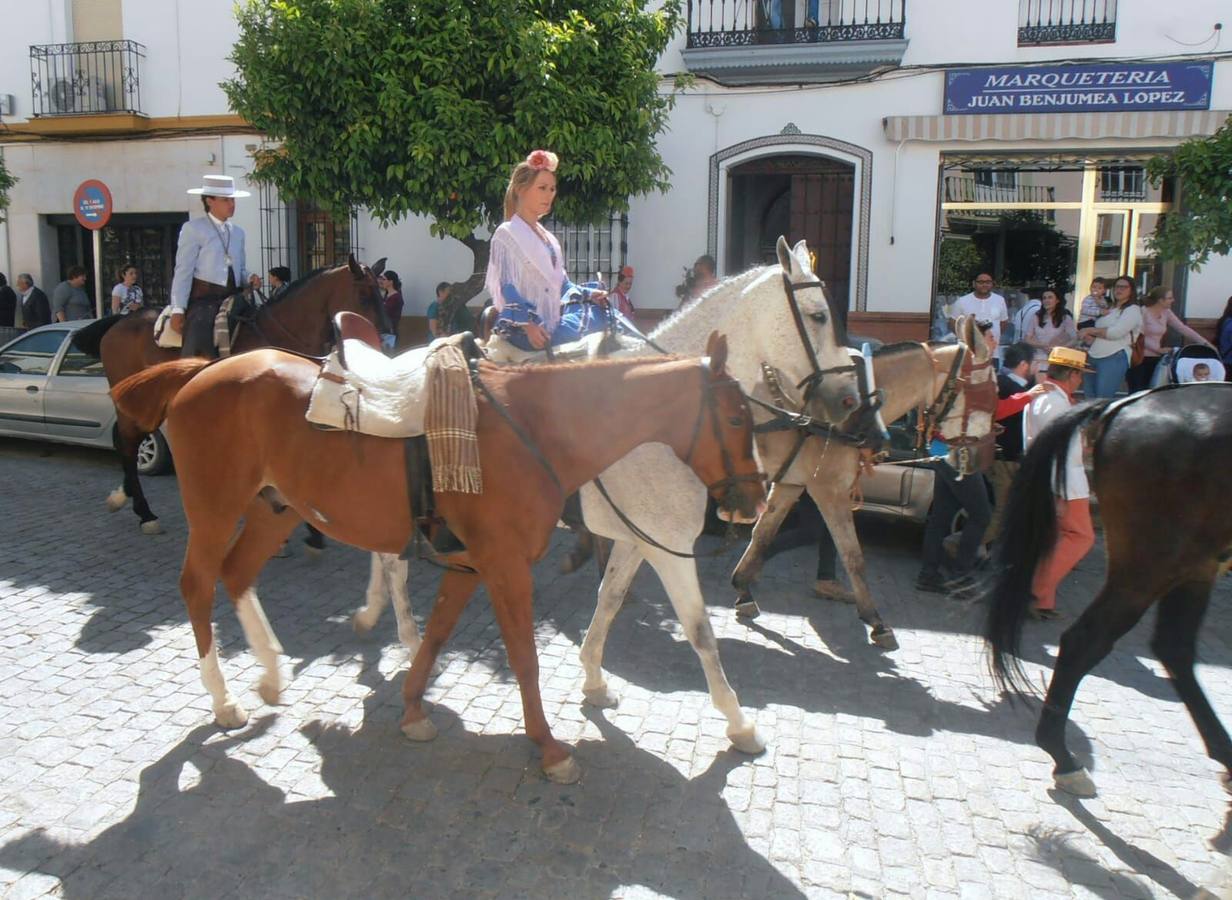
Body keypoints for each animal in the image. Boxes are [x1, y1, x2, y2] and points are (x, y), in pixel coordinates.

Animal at [72, 251, 389, 534]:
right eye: (364, 296)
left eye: (382, 295)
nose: (383, 342)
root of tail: (119, 321)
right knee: (127, 444)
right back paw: (144, 512)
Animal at [113, 334, 768, 783]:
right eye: (737, 417)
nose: (755, 500)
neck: (533, 430)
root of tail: (205, 369)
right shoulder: (505, 566)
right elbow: (525, 658)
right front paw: (549, 747)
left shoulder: (469, 565)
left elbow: (435, 636)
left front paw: (411, 710)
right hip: (215, 509)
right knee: (198, 584)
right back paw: (223, 701)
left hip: (275, 509)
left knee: (236, 574)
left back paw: (272, 673)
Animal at [352, 237, 862, 753]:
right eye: (819, 315)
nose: (850, 399)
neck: (663, 421)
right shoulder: (667, 546)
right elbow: (700, 630)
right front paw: (739, 723)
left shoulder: (638, 540)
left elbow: (610, 598)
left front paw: (594, 680)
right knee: (393, 562)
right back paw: (409, 641)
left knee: (382, 551)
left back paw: (371, 612)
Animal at [985, 384, 1232, 807]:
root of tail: (1126, 403)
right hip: (1154, 563)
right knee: (1087, 641)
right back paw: (1064, 759)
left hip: (1194, 565)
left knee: (1173, 648)